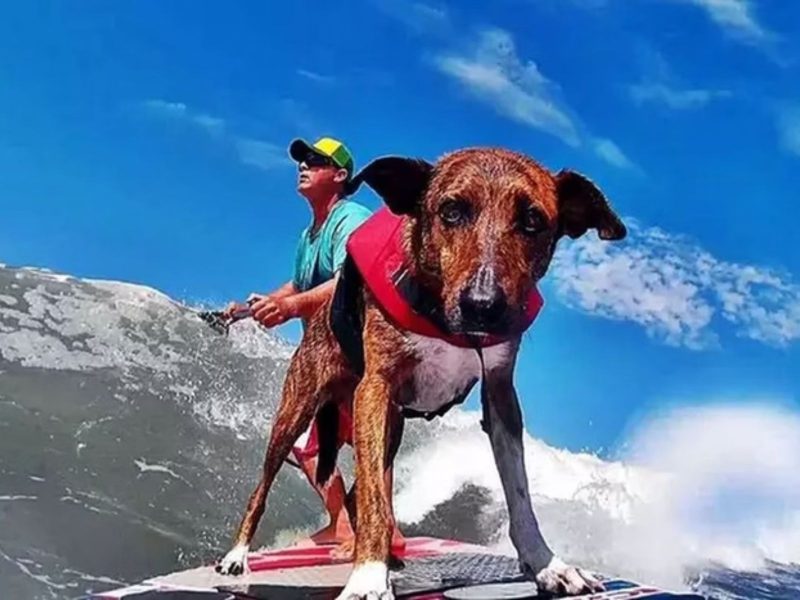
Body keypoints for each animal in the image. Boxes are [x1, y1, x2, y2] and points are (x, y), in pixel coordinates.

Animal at [216, 146, 628, 600]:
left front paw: (547, 565)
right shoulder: (375, 390)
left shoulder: (502, 397)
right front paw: (367, 578)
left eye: (533, 220)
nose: (483, 306)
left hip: (389, 427)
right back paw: (239, 555)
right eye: (451, 211)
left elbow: (520, 496)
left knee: (360, 492)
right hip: (298, 412)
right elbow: (376, 499)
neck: (443, 318)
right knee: (267, 486)